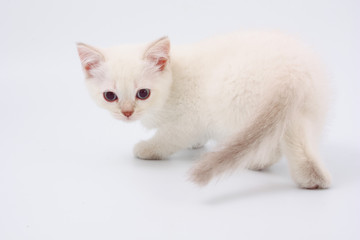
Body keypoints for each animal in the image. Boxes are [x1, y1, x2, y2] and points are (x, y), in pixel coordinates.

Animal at [76, 31, 332, 189]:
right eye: (110, 96)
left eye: (143, 93)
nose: (127, 113)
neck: (173, 80)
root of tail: (290, 73)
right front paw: (197, 145)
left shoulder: (187, 122)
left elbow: (166, 139)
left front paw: (147, 149)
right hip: (308, 108)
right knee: (298, 141)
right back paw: (313, 177)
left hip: (233, 101)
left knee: (272, 143)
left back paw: (257, 162)